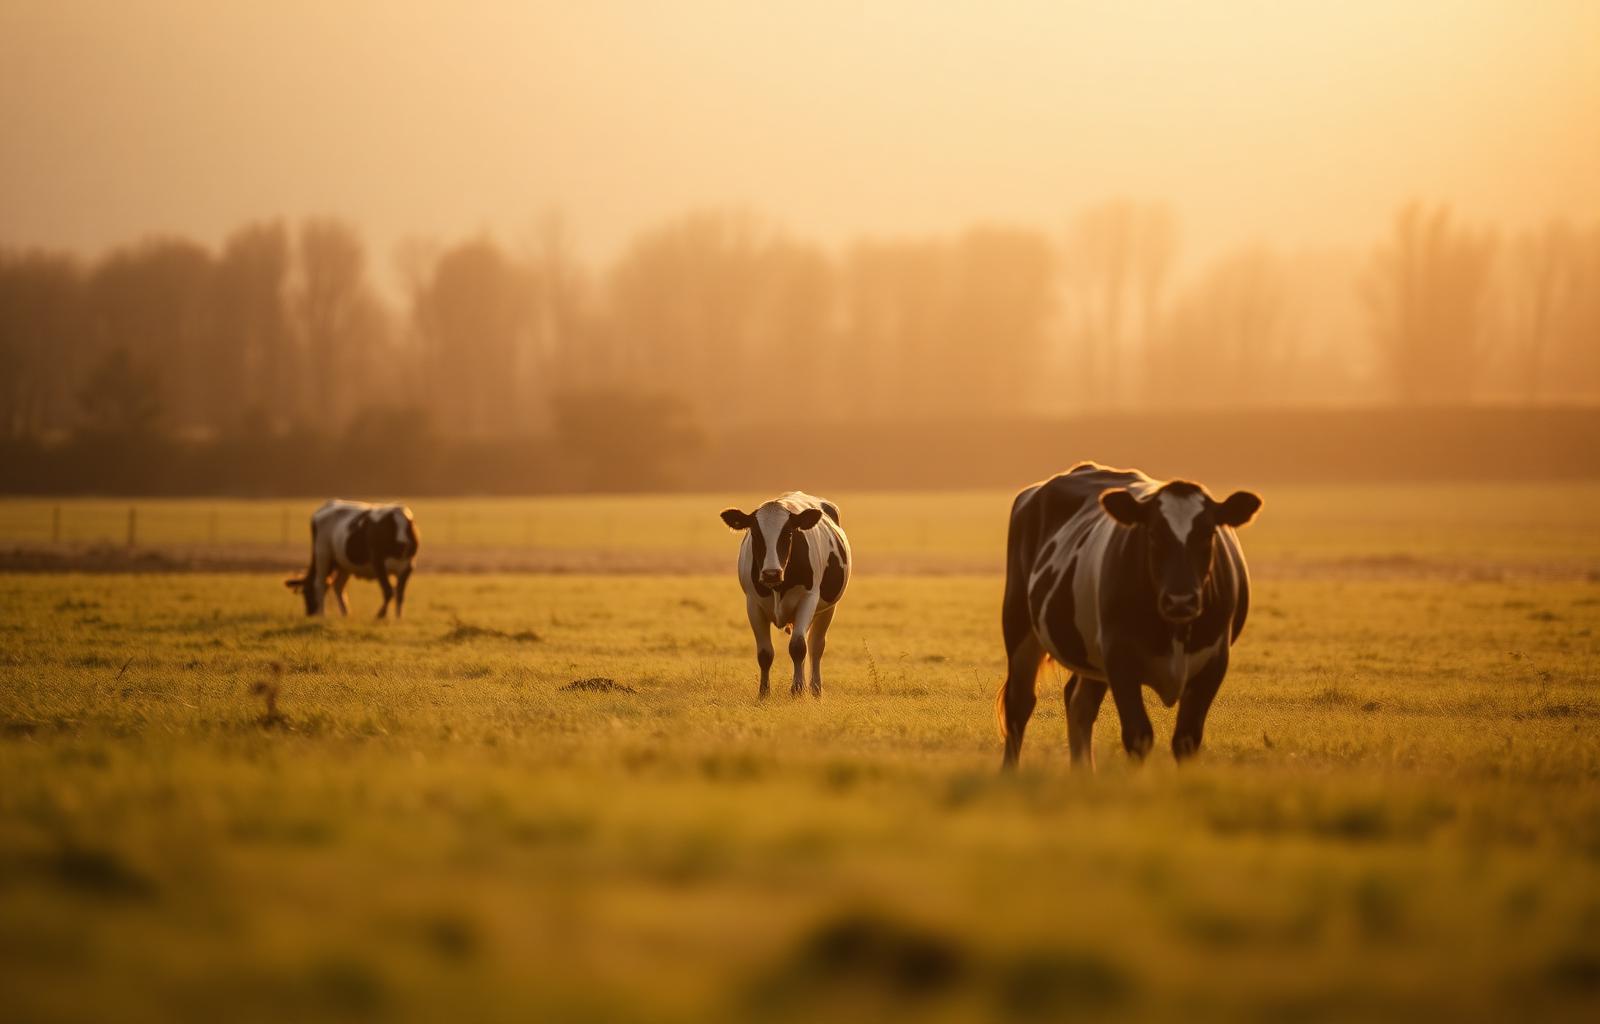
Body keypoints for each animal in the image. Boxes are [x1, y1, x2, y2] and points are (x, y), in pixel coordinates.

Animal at [284, 499, 420, 619]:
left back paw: (336, 613)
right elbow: (390, 591)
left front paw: (396, 618)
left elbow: (397, 594)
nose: (310, 613)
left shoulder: (407, 568)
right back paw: (325, 614)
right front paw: (382, 615)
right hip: (323, 554)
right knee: (324, 584)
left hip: (332, 558)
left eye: (305, 592)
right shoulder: (379, 564)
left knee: (331, 585)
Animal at [719, 492, 852, 699]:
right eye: (755, 534)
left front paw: (797, 689)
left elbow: (798, 646)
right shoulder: (753, 604)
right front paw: (764, 693)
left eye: (789, 533)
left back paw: (815, 689)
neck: (778, 587)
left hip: (828, 608)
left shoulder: (808, 599)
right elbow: (765, 653)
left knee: (815, 646)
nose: (771, 573)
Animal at [997, 462, 1262, 770]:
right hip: (1019, 624)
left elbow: (1186, 739)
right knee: (1020, 704)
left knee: (1078, 702)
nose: (1180, 599)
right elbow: (1138, 735)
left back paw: (1083, 773)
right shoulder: (1120, 657)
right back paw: (1010, 771)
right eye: (1153, 533)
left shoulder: (1214, 662)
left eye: (1208, 534)